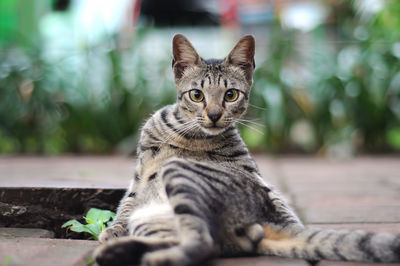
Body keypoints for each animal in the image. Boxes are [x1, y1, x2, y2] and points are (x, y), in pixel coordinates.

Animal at [94, 33, 400, 266]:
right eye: (196, 95)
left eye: (231, 95)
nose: (214, 115)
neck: (189, 136)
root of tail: (267, 221)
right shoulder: (138, 178)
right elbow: (124, 207)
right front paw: (113, 232)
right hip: (151, 218)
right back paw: (124, 250)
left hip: (179, 178)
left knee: (205, 243)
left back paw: (145, 256)